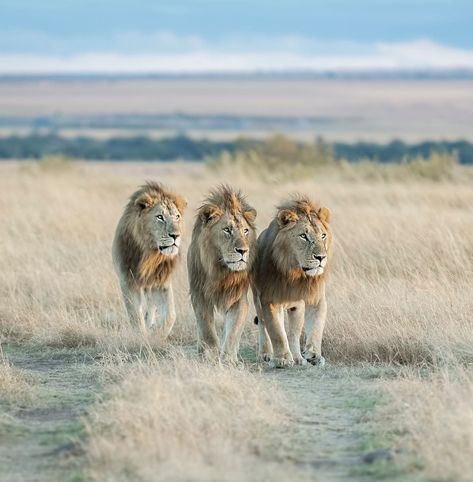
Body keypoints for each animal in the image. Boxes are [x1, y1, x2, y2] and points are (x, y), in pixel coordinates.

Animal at [112, 181, 186, 336]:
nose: (176, 235)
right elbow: (135, 314)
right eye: (160, 217)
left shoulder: (161, 282)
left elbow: (170, 315)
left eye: (177, 216)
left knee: (151, 306)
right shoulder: (128, 280)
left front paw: (157, 335)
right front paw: (142, 336)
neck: (150, 255)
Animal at [186, 186, 256, 364]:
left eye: (245, 231)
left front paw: (228, 359)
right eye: (227, 230)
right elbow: (206, 329)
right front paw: (210, 354)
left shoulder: (238, 299)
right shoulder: (199, 296)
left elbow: (232, 331)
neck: (220, 270)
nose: (243, 251)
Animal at [251, 196, 332, 370]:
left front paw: (313, 355)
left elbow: (314, 327)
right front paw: (282, 359)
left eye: (323, 235)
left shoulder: (313, 299)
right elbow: (276, 332)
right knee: (263, 325)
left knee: (293, 334)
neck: (296, 274)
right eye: (303, 236)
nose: (321, 257)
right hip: (256, 299)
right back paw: (266, 354)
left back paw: (298, 358)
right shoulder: (270, 300)